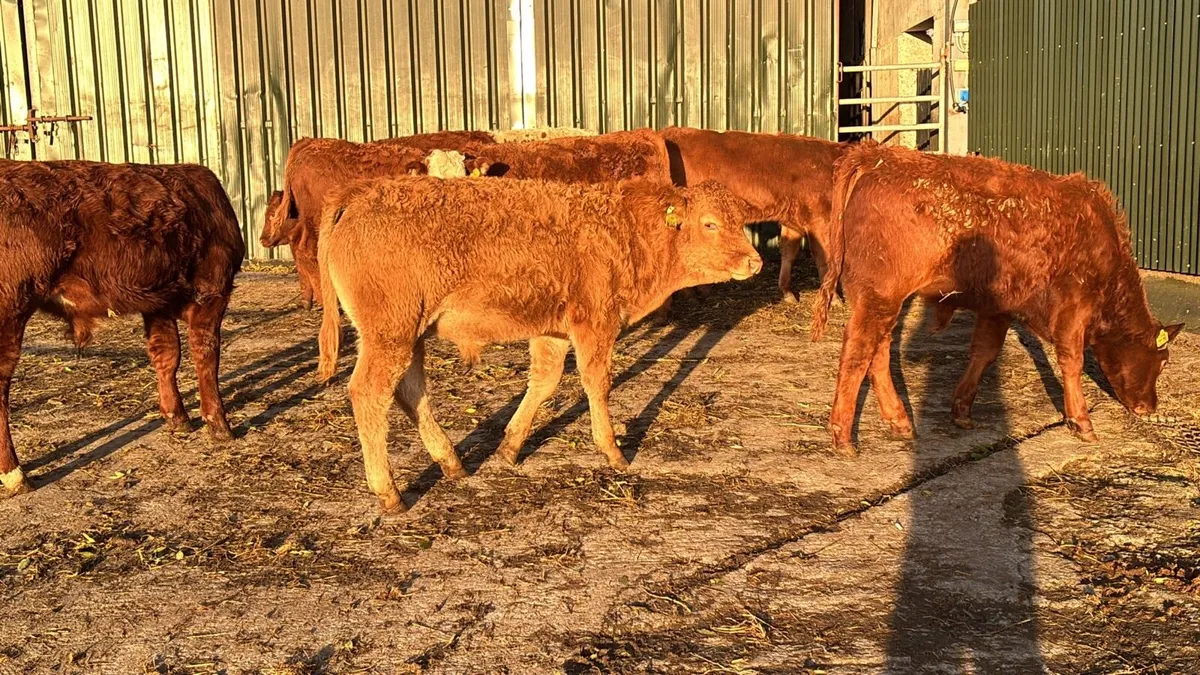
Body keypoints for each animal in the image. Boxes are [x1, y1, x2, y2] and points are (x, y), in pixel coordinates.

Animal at [0, 160, 245, 495]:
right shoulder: (212, 290)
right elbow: (206, 357)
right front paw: (219, 424)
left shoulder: (158, 302)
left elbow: (166, 356)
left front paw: (177, 418)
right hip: (11, 309)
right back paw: (15, 475)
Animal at [315, 176, 762, 511]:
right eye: (710, 223)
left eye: (741, 220)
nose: (754, 261)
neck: (624, 229)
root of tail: (359, 195)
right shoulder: (595, 323)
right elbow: (596, 383)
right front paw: (613, 452)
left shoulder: (553, 331)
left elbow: (543, 383)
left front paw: (510, 448)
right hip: (389, 335)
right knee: (370, 392)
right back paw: (389, 493)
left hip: (410, 335)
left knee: (411, 392)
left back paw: (452, 464)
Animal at [659, 127, 847, 303]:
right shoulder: (820, 220)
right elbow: (825, 259)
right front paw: (834, 298)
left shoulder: (794, 220)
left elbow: (789, 252)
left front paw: (787, 291)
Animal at [810, 142, 1184, 455]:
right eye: (1163, 361)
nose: (1149, 407)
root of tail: (874, 156)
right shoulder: (1073, 310)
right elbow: (1072, 363)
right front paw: (1081, 421)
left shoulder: (998, 309)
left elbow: (985, 353)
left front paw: (961, 409)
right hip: (880, 297)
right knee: (858, 351)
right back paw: (844, 437)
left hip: (881, 300)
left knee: (879, 349)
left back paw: (900, 421)